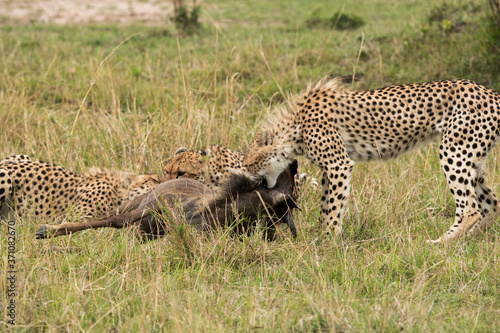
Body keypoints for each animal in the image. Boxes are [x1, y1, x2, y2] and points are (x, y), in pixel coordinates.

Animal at [244, 79, 500, 243]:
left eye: (249, 164)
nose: (251, 182)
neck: (294, 128)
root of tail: (490, 92)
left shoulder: (339, 164)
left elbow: (334, 207)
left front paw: (329, 240)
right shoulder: (329, 170)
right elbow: (326, 205)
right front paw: (322, 235)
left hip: (453, 152)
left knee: (470, 208)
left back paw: (443, 243)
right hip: (472, 158)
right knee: (491, 204)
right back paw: (471, 239)